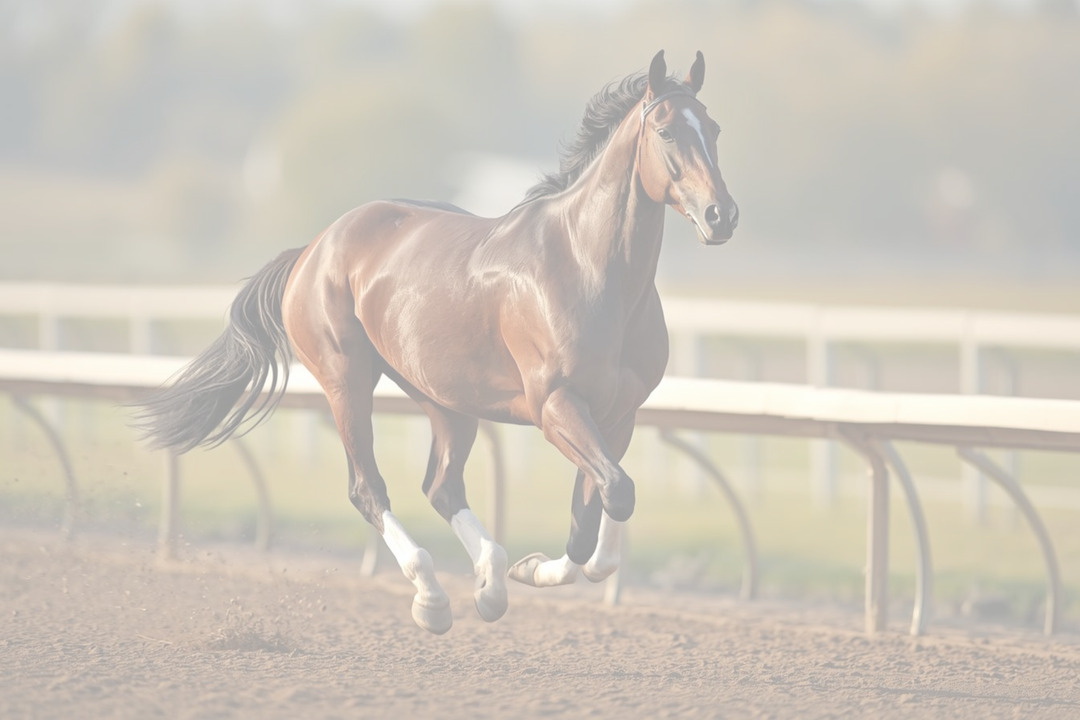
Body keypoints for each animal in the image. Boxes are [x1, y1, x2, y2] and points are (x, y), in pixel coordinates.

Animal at [136, 50, 738, 634]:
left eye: (713, 127)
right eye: (665, 130)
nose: (722, 215)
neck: (594, 271)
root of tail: (314, 246)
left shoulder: (619, 414)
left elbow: (599, 518)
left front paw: (527, 569)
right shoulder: (555, 404)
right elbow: (614, 492)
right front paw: (527, 570)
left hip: (444, 397)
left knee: (442, 486)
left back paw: (490, 584)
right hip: (345, 381)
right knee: (368, 488)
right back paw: (431, 595)